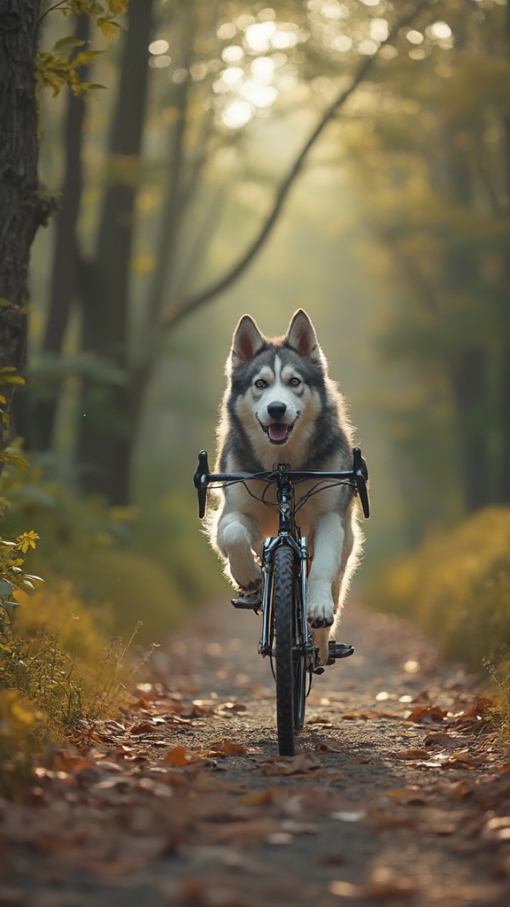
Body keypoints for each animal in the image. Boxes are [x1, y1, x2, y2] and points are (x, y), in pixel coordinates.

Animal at [209, 308, 360, 664]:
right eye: (260, 384)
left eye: (294, 382)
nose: (276, 408)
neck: (283, 465)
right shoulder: (233, 512)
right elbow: (233, 535)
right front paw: (247, 574)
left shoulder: (329, 517)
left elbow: (321, 567)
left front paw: (318, 608)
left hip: (347, 542)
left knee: (334, 579)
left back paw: (321, 646)